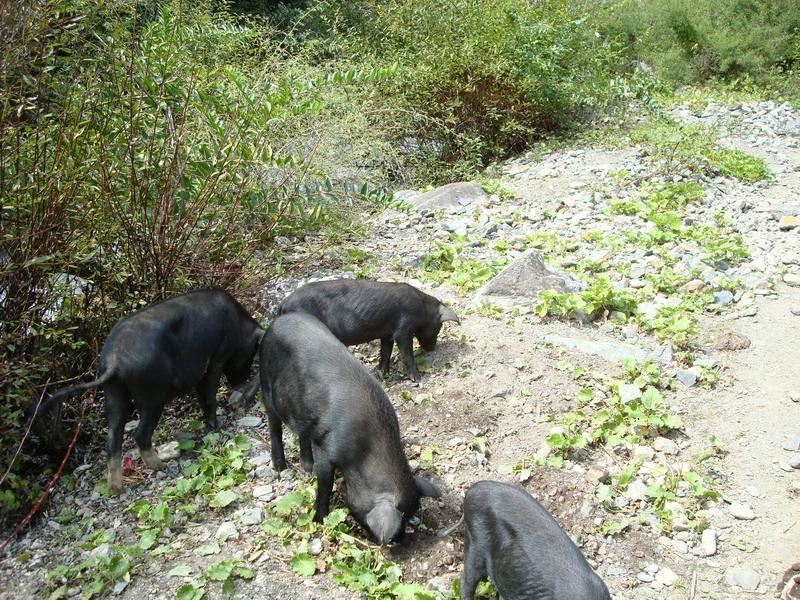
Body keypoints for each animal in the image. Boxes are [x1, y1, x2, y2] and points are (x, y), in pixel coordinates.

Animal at [35, 290, 262, 492]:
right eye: (251, 354)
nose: (240, 383)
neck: (239, 324)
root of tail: (114, 362)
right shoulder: (217, 358)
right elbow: (208, 395)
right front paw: (216, 427)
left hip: (114, 394)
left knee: (113, 438)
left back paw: (116, 488)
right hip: (152, 394)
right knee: (140, 434)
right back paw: (160, 465)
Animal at [260, 314, 440, 544]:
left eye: (409, 516)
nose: (396, 540)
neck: (362, 452)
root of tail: (276, 322)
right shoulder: (325, 448)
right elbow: (325, 485)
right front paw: (319, 521)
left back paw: (306, 468)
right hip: (265, 384)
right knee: (274, 426)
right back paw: (281, 467)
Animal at [278, 280, 460, 382]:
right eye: (438, 328)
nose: (432, 348)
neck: (423, 310)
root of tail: (283, 304)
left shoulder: (387, 334)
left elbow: (385, 352)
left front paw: (381, 374)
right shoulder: (403, 329)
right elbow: (406, 353)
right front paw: (418, 379)